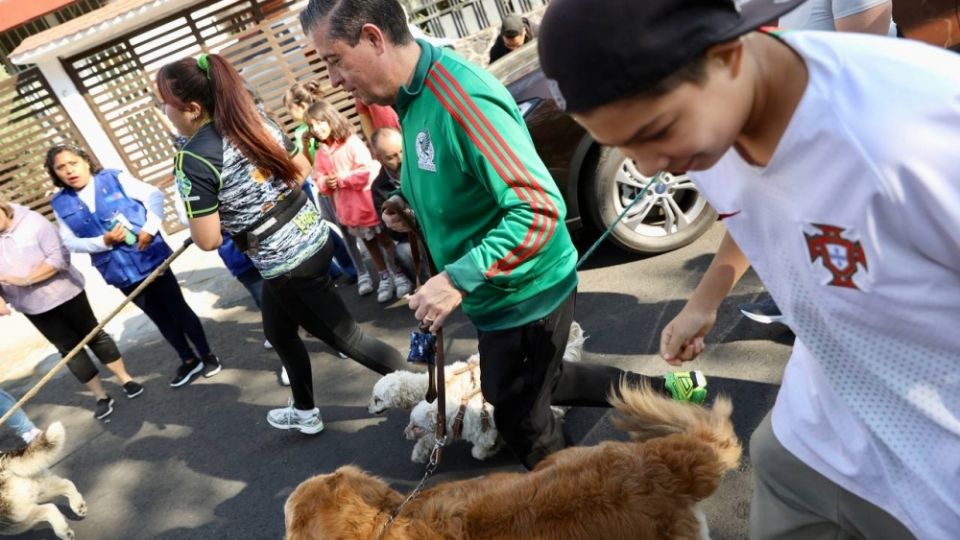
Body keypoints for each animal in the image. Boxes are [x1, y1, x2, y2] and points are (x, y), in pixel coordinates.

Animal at [404, 322, 588, 462]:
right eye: (410, 423)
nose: (404, 433)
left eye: (416, 426)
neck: (457, 411)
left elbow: (478, 451)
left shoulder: (485, 433)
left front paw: (489, 450)